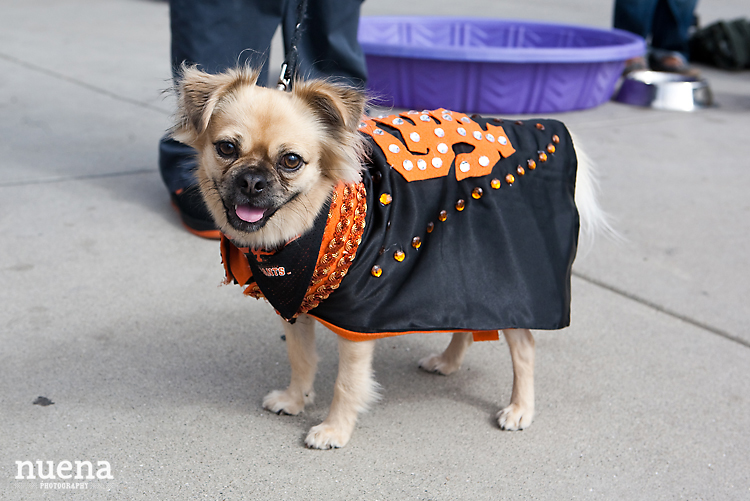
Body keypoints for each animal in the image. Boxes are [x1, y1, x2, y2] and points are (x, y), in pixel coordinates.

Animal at [172, 65, 604, 450]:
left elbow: (347, 384)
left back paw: (519, 409)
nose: (251, 181)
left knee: (524, 348)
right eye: (227, 148)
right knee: (467, 322)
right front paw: (295, 400)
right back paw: (448, 362)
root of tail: (544, 127)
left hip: (507, 282)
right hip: (461, 273)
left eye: (291, 161)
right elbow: (301, 359)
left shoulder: (356, 327)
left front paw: (334, 431)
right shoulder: (295, 306)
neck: (315, 224)